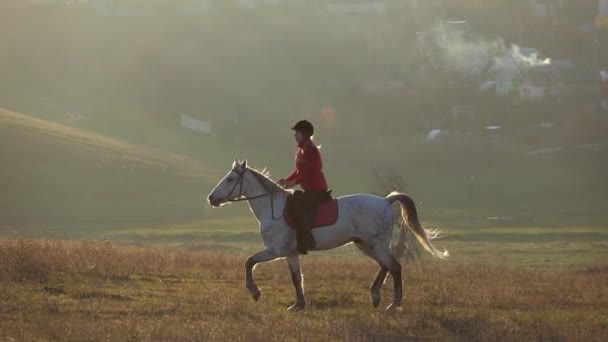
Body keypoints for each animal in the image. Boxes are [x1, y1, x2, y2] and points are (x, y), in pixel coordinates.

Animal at [207, 159, 448, 312]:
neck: (271, 208)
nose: (211, 198)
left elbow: (249, 262)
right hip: (365, 245)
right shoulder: (290, 253)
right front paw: (298, 305)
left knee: (395, 267)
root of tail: (385, 201)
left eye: (229, 179)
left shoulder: (275, 250)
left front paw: (255, 292)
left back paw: (393, 304)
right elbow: (296, 278)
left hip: (376, 245)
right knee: (385, 267)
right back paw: (375, 296)